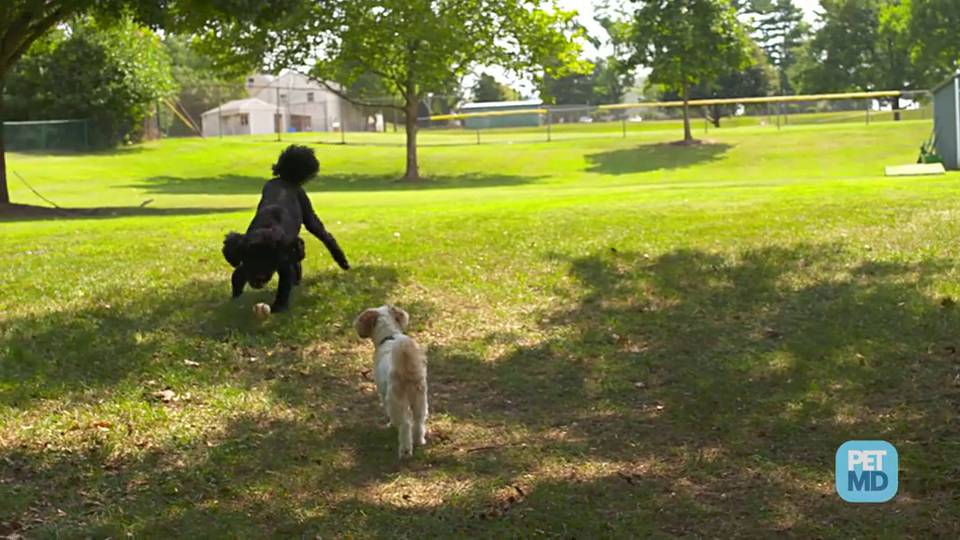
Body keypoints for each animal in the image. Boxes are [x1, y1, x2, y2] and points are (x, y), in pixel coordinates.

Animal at [222, 144, 348, 312]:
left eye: (271, 260)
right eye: (250, 257)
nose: (259, 278)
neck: (267, 227)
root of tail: (287, 178)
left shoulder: (284, 261)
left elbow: (284, 285)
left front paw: (278, 307)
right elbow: (238, 274)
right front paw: (235, 297)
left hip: (309, 216)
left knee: (326, 237)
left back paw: (341, 261)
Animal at [352, 306, 428, 458]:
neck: (389, 336)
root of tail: (406, 370)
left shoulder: (382, 393)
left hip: (396, 401)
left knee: (405, 424)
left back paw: (405, 450)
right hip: (420, 399)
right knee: (418, 420)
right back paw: (419, 441)